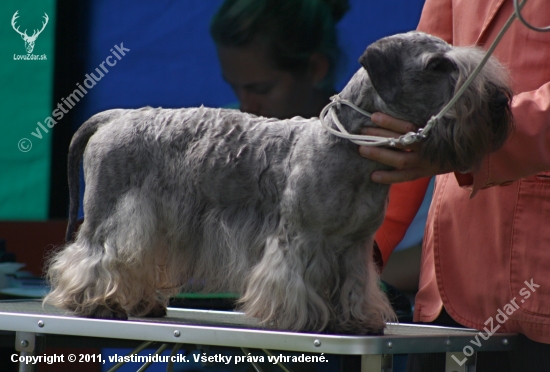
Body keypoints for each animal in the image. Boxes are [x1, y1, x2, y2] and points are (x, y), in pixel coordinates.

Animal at [45, 32, 516, 334]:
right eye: (437, 64)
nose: (499, 102)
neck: (346, 147)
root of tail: (117, 116)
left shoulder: (355, 248)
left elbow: (354, 287)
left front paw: (357, 320)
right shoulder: (300, 238)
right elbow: (296, 280)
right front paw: (303, 319)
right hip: (109, 214)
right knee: (93, 257)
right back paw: (97, 302)